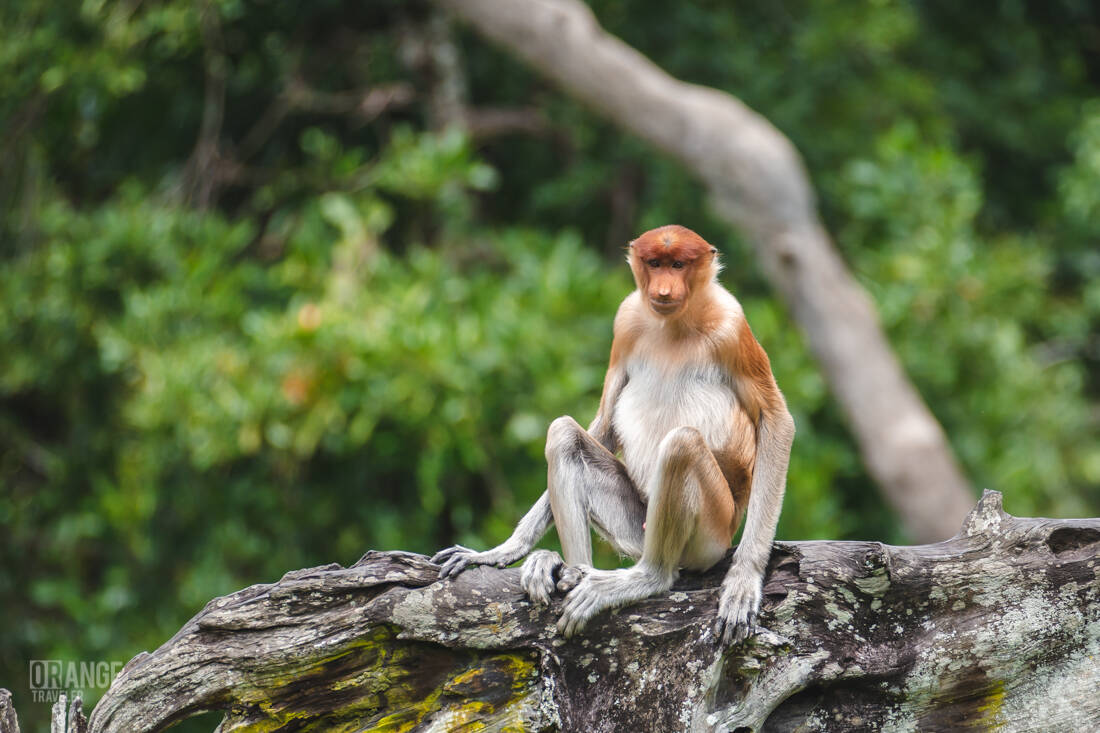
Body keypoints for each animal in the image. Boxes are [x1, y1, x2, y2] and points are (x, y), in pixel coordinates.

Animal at [432, 225, 794, 643]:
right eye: (654, 263)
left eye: (678, 265)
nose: (663, 291)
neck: (674, 323)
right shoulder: (626, 321)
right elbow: (604, 423)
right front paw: (501, 550)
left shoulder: (732, 325)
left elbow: (776, 419)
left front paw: (743, 582)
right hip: (636, 523)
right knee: (563, 435)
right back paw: (569, 569)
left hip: (712, 536)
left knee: (682, 445)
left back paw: (646, 577)